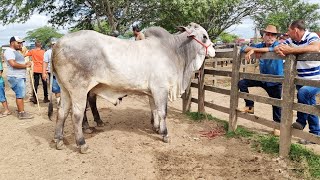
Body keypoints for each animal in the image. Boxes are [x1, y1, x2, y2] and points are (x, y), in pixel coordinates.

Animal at [52, 22, 215, 152]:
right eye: (204, 36)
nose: (213, 50)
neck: (174, 51)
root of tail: (58, 43)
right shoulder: (160, 89)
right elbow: (163, 112)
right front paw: (165, 134)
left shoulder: (152, 92)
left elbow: (154, 110)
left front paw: (156, 128)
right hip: (79, 89)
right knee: (77, 115)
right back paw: (82, 143)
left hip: (65, 89)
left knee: (62, 112)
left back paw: (59, 140)